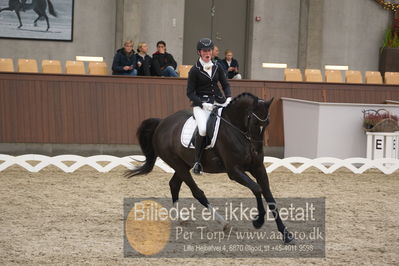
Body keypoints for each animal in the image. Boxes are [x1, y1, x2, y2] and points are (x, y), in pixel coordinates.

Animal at [126, 92, 296, 243]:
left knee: (174, 184)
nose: (257, 151)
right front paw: (258, 221)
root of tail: (162, 123)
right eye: (254, 123)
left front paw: (286, 234)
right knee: (197, 192)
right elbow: (257, 188)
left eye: (267, 124)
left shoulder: (258, 168)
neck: (236, 129)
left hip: (183, 165)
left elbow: (269, 195)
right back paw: (224, 223)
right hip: (178, 164)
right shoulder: (234, 171)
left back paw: (181, 219)